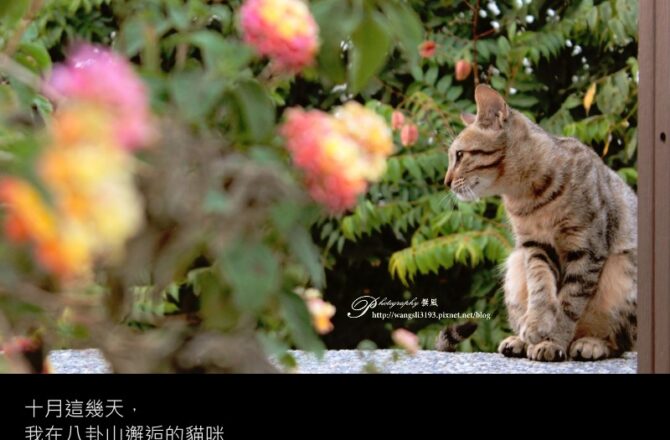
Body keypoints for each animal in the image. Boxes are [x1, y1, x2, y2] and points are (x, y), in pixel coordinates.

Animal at [444, 85, 636, 360]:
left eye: (460, 155)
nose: (446, 182)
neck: (527, 195)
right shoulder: (535, 246)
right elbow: (541, 288)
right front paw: (536, 325)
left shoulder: (586, 248)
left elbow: (569, 303)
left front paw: (553, 342)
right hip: (514, 264)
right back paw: (520, 341)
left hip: (623, 270)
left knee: (619, 342)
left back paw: (590, 344)